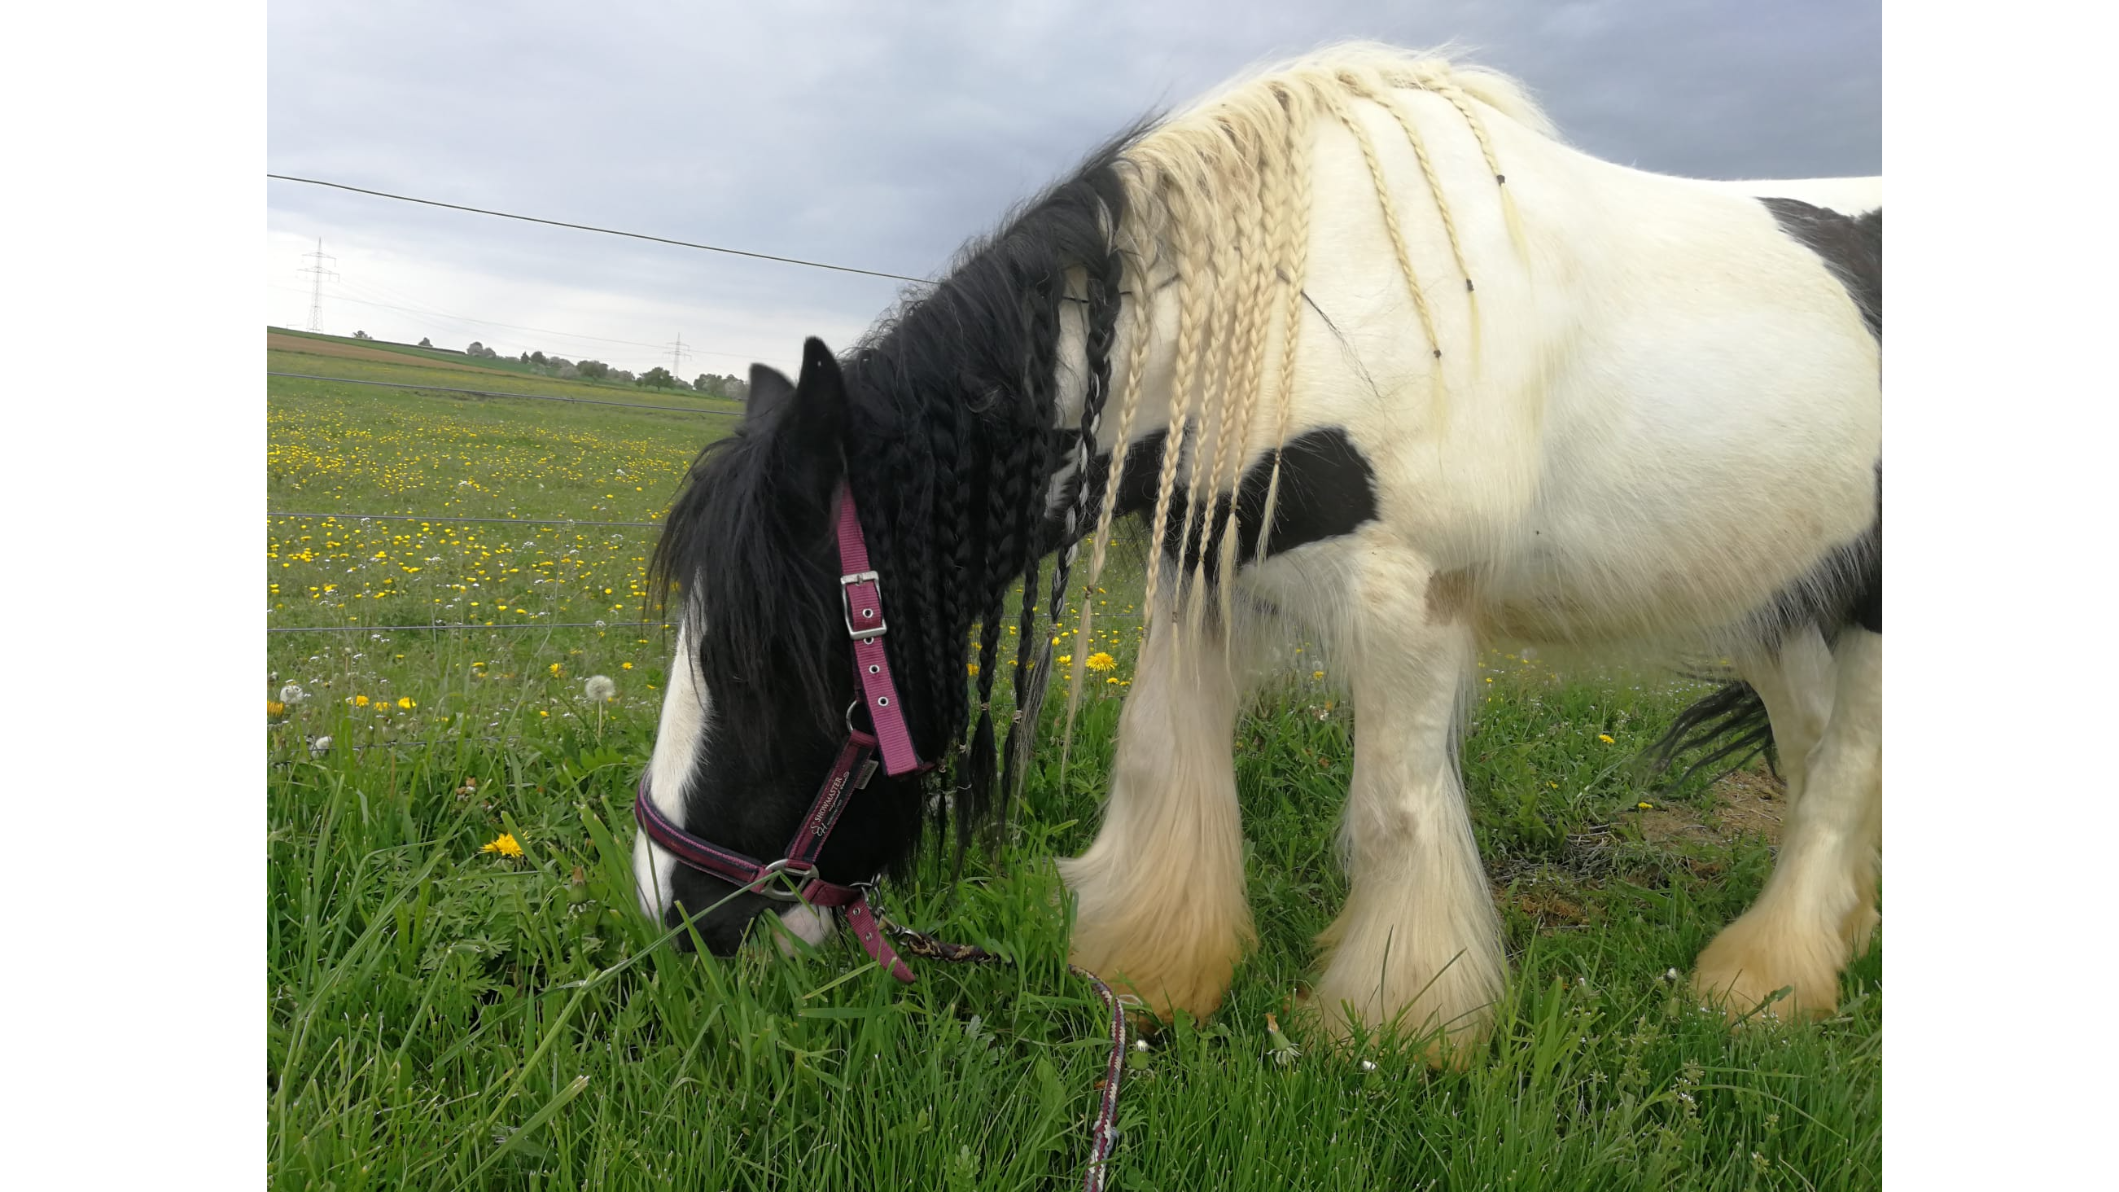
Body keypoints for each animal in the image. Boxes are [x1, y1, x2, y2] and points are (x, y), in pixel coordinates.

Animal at [631, 42, 1890, 1062]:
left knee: (1839, 771)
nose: (673, 916)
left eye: (770, 668)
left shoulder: (1404, 599)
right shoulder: (1205, 567)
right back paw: (1834, 933)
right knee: (1814, 752)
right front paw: (1151, 964)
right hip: (1786, 596)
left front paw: (1396, 1022)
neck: (1301, 293)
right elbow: (1162, 759)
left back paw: (1763, 981)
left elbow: (1395, 811)